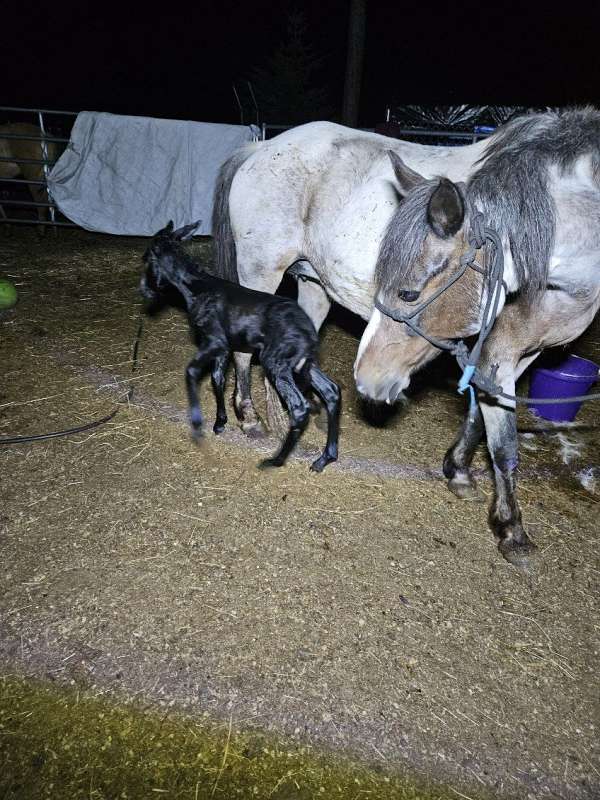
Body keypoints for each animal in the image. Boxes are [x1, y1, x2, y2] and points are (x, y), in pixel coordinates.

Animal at [354, 108, 600, 563]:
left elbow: (491, 425)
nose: (365, 378)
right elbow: (497, 430)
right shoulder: (501, 346)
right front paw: (509, 524)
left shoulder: (517, 347)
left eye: (408, 293)